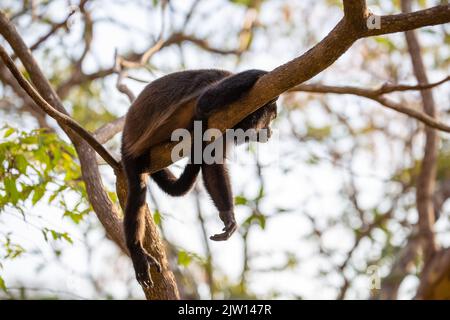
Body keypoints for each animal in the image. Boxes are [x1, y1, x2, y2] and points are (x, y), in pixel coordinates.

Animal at [123, 69, 278, 288]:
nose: (270, 132)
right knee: (138, 190)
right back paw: (137, 251)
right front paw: (262, 72)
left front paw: (229, 216)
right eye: (270, 118)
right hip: (130, 152)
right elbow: (205, 100)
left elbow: (212, 166)